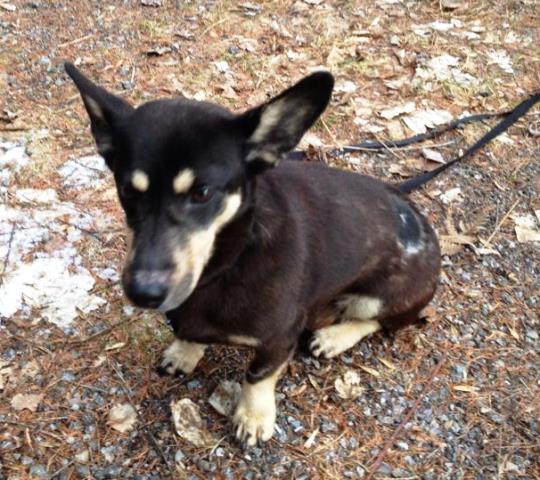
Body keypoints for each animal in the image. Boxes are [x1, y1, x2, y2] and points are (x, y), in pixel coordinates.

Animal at [65, 62, 538, 446]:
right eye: (128, 190)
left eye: (202, 193)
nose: (143, 292)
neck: (230, 259)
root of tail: (420, 221)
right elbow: (189, 334)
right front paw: (185, 352)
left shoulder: (278, 339)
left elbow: (257, 377)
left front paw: (253, 417)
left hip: (384, 296)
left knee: (377, 321)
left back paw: (334, 336)